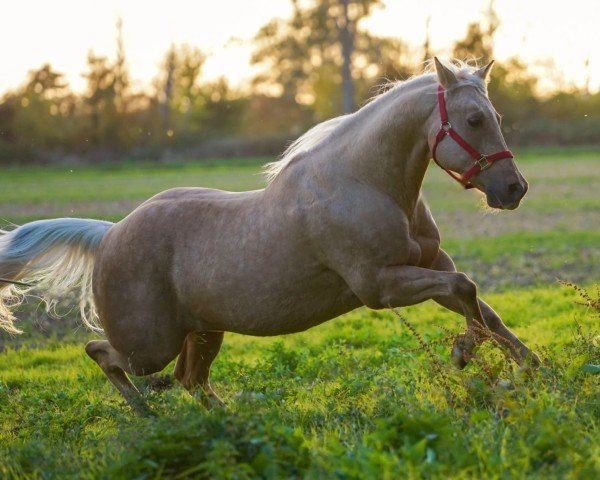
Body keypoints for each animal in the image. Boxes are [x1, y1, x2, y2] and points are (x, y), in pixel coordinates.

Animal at [0, 59, 540, 412]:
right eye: (474, 119)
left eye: (495, 117)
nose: (514, 189)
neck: (367, 183)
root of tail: (110, 234)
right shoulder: (379, 285)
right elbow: (467, 290)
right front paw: (464, 355)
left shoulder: (431, 265)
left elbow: (479, 304)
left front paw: (532, 368)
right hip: (150, 344)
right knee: (105, 356)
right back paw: (148, 416)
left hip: (203, 331)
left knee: (190, 381)